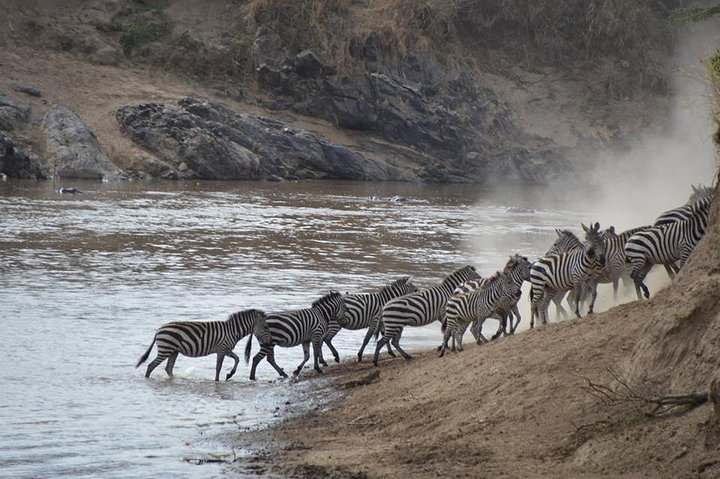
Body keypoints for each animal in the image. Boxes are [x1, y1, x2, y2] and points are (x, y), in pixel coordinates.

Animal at [135, 308, 270, 382]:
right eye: (266, 328)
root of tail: (159, 329)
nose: (268, 343)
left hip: (173, 351)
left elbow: (237, 359)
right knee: (151, 365)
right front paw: (217, 380)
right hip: (166, 349)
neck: (232, 331)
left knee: (168, 368)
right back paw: (147, 379)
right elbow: (218, 367)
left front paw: (229, 374)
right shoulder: (222, 349)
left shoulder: (226, 350)